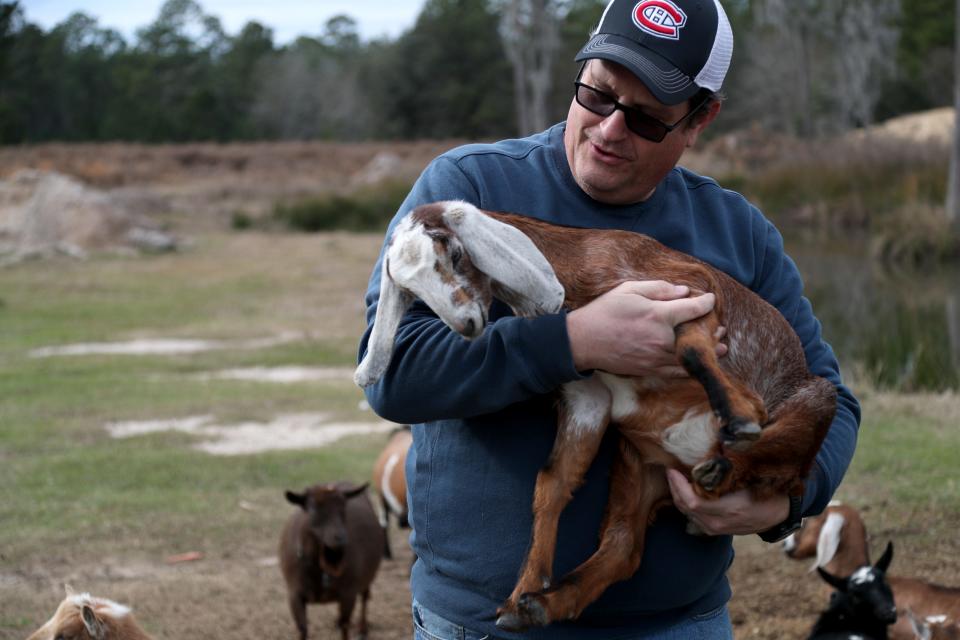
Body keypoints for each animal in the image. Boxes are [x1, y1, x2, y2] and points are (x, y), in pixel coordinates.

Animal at [278, 482, 382, 640]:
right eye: (312, 508)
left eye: (343, 507)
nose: (340, 538)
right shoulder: (294, 594)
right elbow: (303, 629)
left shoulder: (348, 593)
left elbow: (345, 626)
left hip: (367, 575)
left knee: (365, 596)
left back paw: (362, 629)